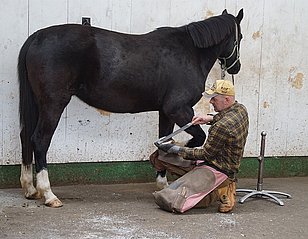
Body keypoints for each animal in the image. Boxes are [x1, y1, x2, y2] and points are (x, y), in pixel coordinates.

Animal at [18, 9, 244, 207]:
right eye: (239, 36)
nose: (236, 67)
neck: (190, 52)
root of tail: (37, 37)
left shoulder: (165, 112)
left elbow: (164, 140)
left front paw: (162, 180)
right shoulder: (179, 109)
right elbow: (197, 138)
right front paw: (180, 153)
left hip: (38, 104)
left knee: (26, 137)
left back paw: (30, 188)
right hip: (53, 104)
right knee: (40, 140)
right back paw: (49, 194)